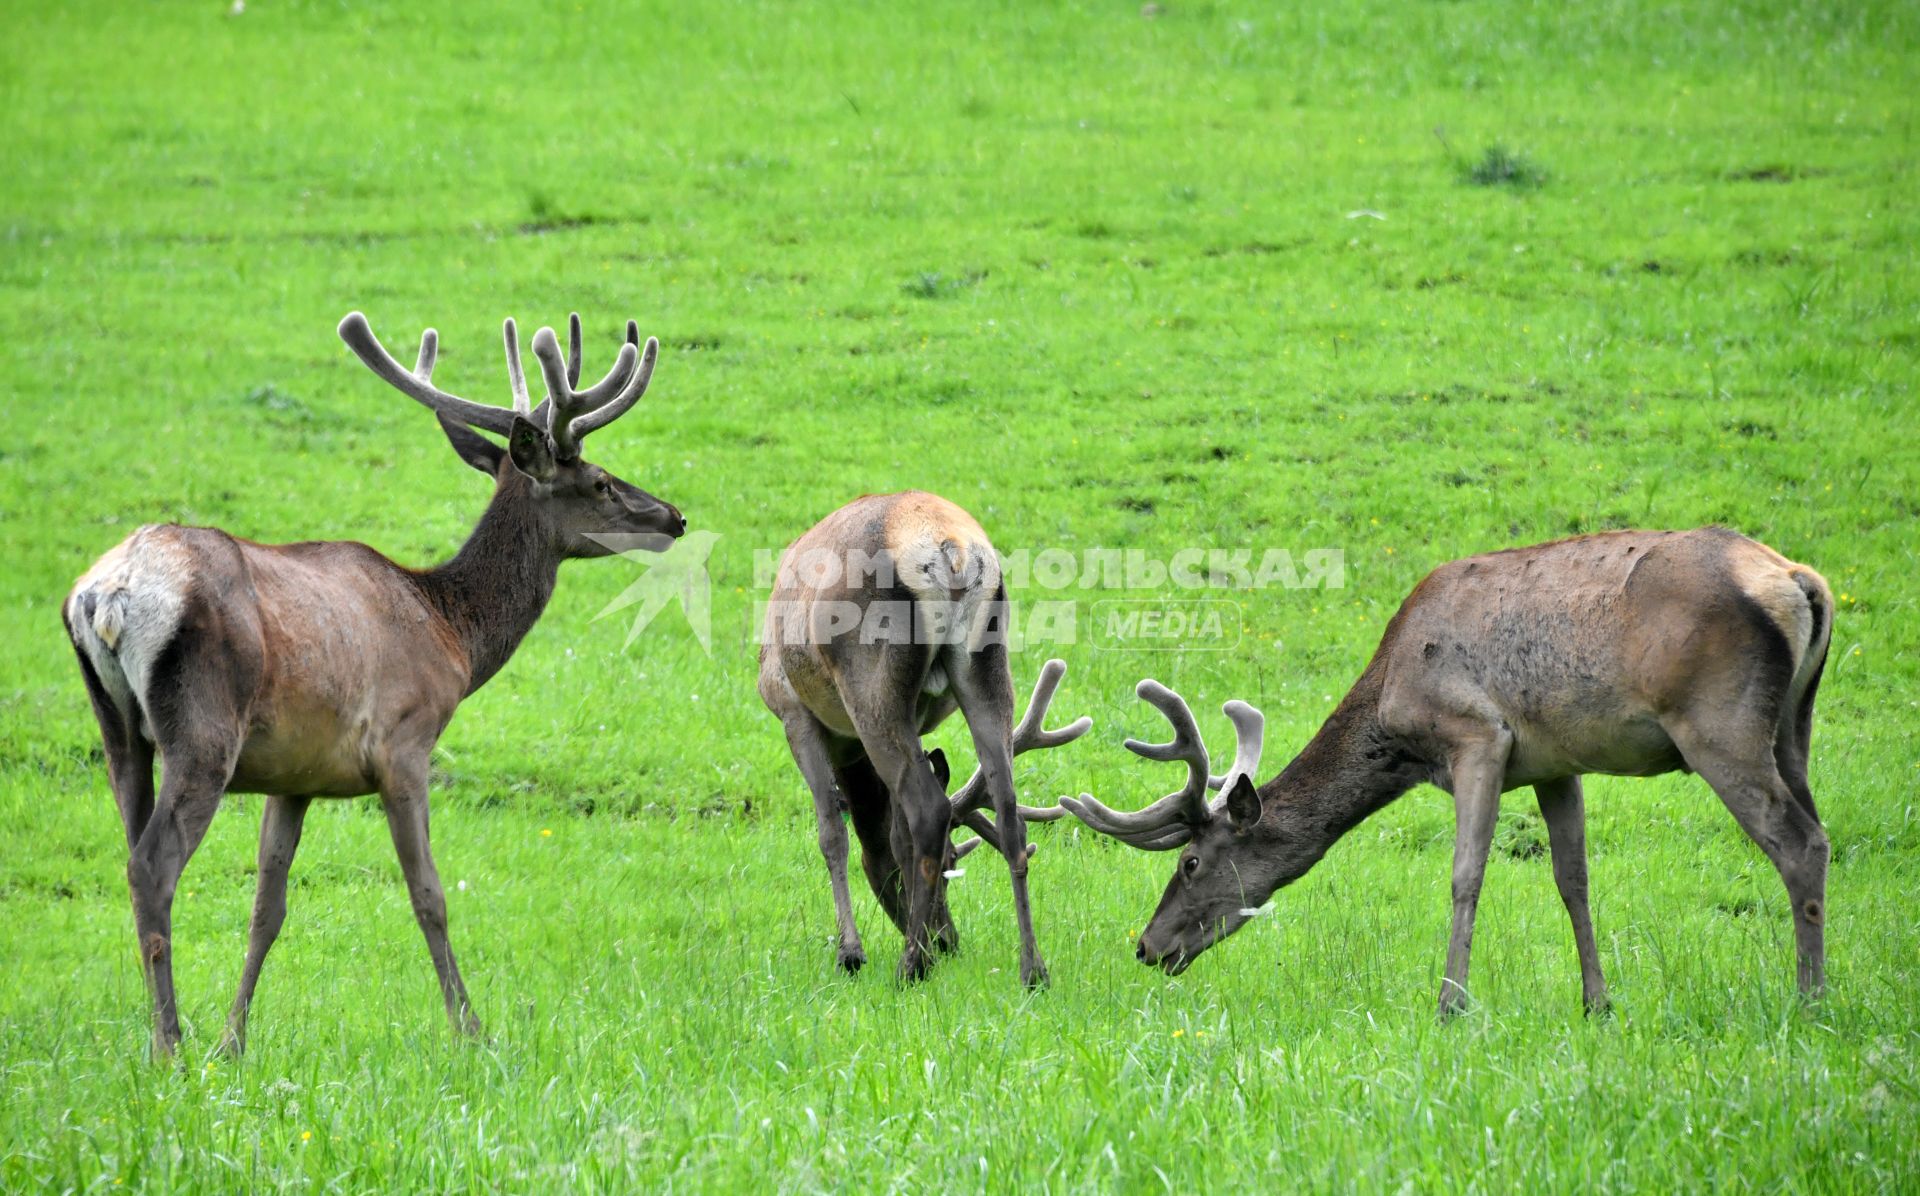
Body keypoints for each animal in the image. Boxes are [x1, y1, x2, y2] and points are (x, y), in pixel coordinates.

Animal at [63, 310, 687, 1059]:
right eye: (598, 480)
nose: (674, 516)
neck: (452, 635)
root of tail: (107, 596)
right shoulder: (404, 744)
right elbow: (430, 894)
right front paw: (471, 1028)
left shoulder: (295, 776)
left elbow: (267, 908)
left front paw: (233, 1040)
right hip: (204, 729)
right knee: (153, 866)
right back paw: (169, 1046)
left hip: (118, 730)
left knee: (131, 852)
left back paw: (165, 1034)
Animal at [752, 491, 1090, 990]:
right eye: (951, 863)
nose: (949, 940)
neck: (849, 755)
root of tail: (953, 553)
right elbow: (897, 835)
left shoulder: (792, 710)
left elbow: (833, 833)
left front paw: (850, 953)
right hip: (987, 663)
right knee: (1009, 812)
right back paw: (1032, 969)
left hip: (872, 684)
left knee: (929, 808)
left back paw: (909, 965)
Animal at [1067, 529, 1827, 1013]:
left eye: (1191, 861)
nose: (1147, 945)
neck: (1394, 707)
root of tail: (1802, 581)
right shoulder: (1556, 763)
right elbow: (1573, 880)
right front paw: (1598, 1003)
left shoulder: (1479, 736)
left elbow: (1466, 877)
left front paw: (1450, 1004)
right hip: (1792, 726)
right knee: (1814, 828)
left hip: (1717, 723)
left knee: (1799, 841)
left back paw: (1810, 998)